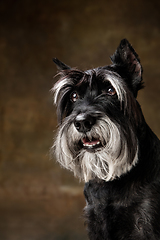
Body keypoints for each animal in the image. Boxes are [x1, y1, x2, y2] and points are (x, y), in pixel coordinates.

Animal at [51, 38, 160, 239]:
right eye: (74, 95)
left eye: (110, 90)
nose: (82, 122)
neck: (112, 182)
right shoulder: (97, 221)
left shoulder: (145, 223)